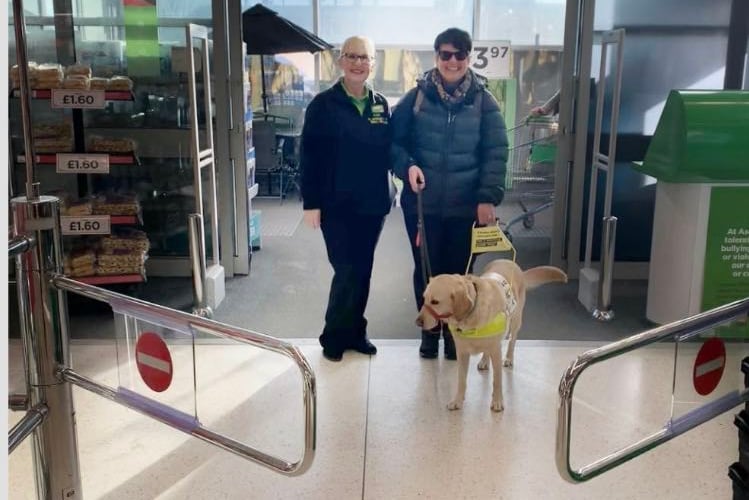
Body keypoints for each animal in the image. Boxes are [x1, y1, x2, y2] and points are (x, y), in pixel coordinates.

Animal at [414, 260, 568, 412]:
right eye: (424, 298)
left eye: (435, 302)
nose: (418, 322)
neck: (471, 317)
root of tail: (511, 263)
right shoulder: (462, 353)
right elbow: (461, 380)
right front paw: (457, 400)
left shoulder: (496, 351)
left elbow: (497, 380)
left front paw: (497, 401)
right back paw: (484, 361)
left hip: (515, 321)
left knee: (512, 341)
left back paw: (509, 358)